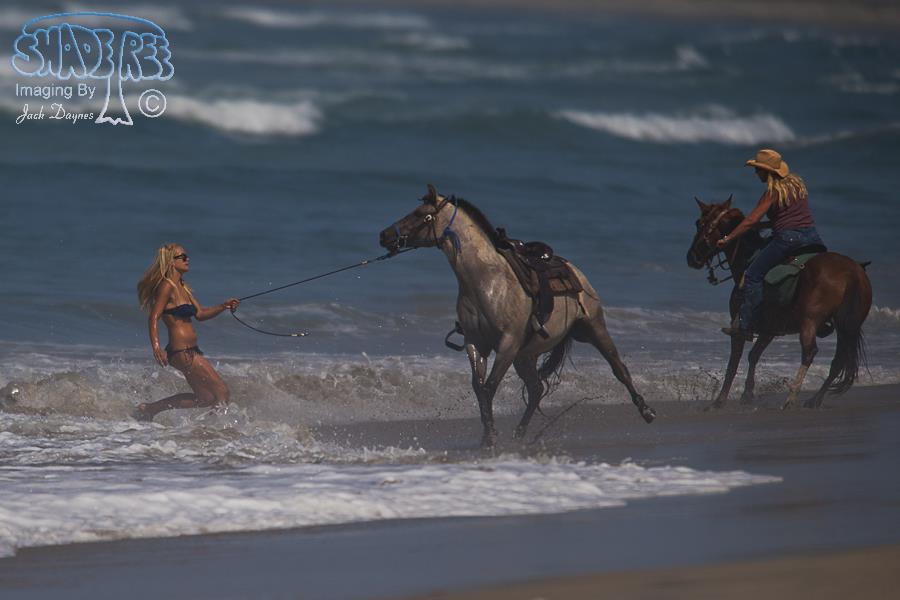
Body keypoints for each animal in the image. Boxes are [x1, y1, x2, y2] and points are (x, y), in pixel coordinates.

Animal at [379, 185, 656, 447]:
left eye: (420, 214)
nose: (384, 235)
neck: (487, 281)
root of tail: (574, 270)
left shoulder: (507, 344)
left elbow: (489, 387)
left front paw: (490, 438)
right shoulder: (476, 343)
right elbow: (479, 388)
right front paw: (487, 435)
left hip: (593, 329)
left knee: (619, 369)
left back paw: (647, 411)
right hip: (526, 355)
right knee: (536, 389)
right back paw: (519, 433)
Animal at [686, 196, 872, 410]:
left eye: (700, 223)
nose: (691, 257)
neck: (747, 260)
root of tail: (852, 273)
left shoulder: (740, 327)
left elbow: (733, 363)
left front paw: (719, 401)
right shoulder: (770, 328)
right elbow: (753, 355)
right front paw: (747, 394)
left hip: (810, 321)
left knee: (810, 351)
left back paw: (791, 398)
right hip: (847, 326)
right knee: (839, 360)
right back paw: (814, 400)